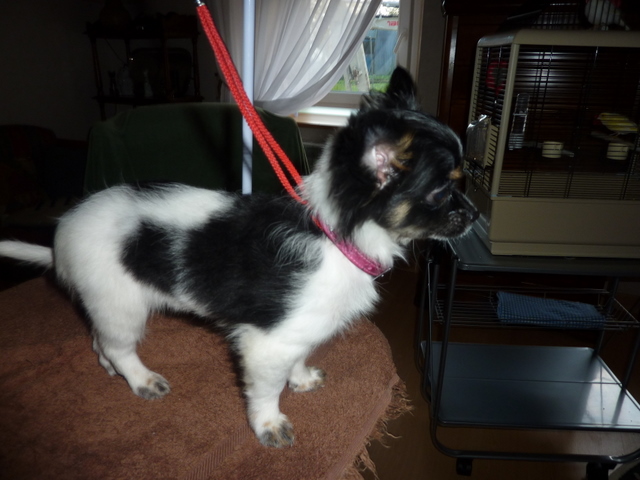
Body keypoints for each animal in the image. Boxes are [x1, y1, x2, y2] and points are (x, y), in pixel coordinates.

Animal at [0, 67, 477, 448]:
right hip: (121, 303)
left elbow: (297, 359)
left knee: (100, 341)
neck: (335, 235)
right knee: (118, 347)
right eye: (441, 192)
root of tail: (61, 235)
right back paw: (141, 379)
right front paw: (268, 425)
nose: (473, 214)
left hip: (107, 304)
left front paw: (301, 379)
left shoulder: (295, 331)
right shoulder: (265, 343)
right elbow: (266, 388)